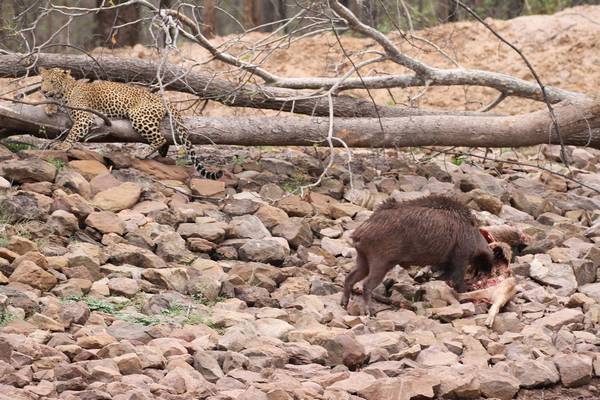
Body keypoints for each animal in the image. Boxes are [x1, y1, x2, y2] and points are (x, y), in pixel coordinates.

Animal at [39, 67, 223, 180]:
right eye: (42, 81)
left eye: (53, 81)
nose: (43, 90)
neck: (66, 91)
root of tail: (161, 98)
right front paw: (49, 106)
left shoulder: (84, 117)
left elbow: (72, 133)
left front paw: (62, 146)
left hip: (139, 115)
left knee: (160, 138)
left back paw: (142, 154)